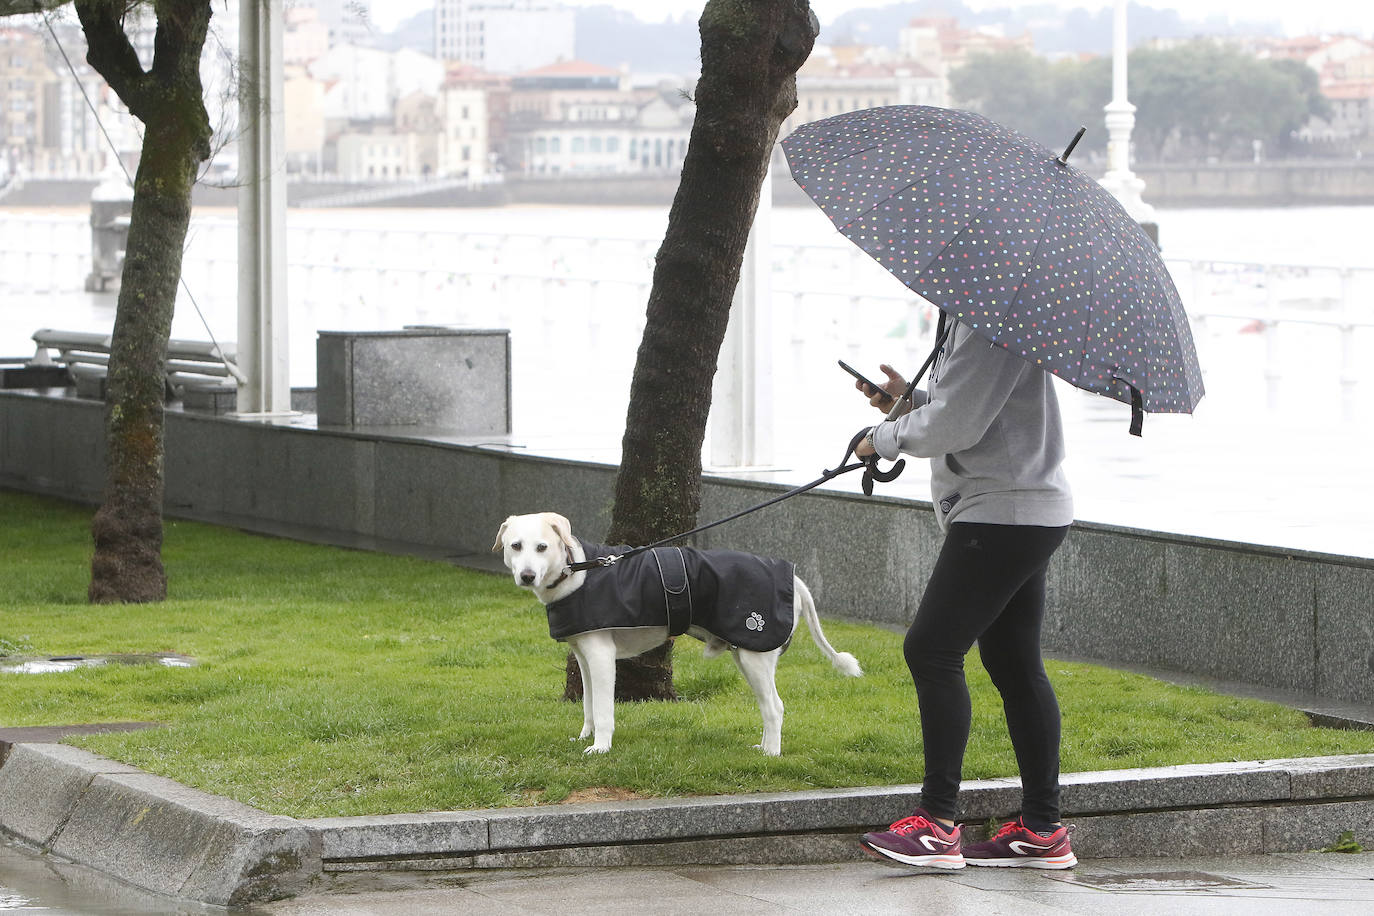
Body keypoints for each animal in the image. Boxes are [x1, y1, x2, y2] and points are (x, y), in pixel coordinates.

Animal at [494, 513, 857, 758]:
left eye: (542, 547)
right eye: (516, 546)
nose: (527, 576)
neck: (577, 571)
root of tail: (794, 580)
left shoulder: (601, 657)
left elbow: (604, 708)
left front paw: (601, 747)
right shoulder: (584, 656)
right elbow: (588, 703)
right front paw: (586, 736)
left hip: (755, 656)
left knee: (775, 707)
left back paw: (771, 755)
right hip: (746, 655)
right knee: (768, 706)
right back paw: (764, 747)